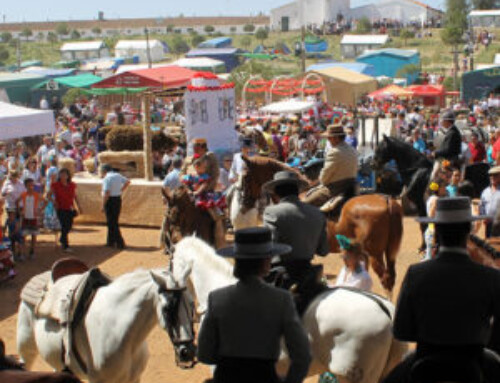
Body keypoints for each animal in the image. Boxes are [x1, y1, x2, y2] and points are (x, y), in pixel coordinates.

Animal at [237, 156, 402, 294]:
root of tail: (386, 199)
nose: (243, 203)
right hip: (389, 253)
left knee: (386, 280)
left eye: (245, 177)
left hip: (376, 255)